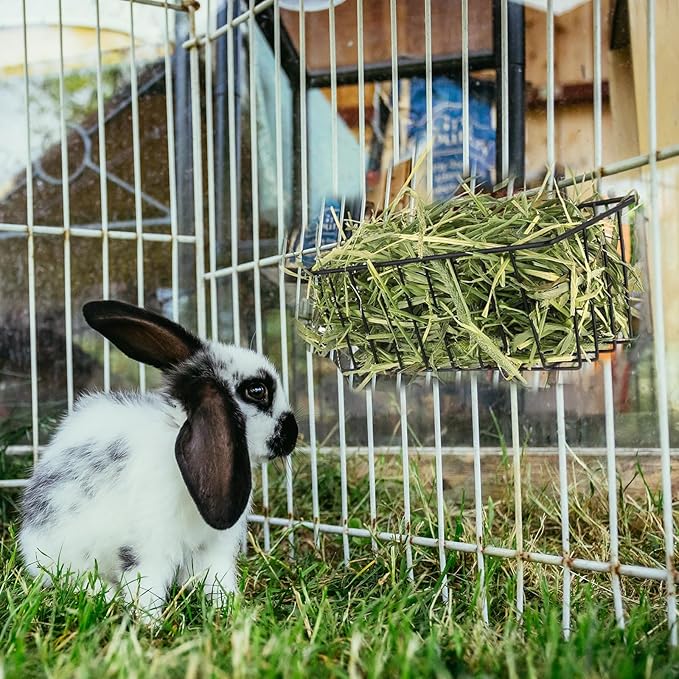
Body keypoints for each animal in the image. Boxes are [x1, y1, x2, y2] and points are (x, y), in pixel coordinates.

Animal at [19, 300, 298, 617]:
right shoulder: (148, 548)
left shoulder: (214, 549)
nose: (294, 432)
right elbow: (147, 588)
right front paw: (149, 623)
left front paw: (231, 612)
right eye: (257, 391)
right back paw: (106, 595)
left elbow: (218, 581)